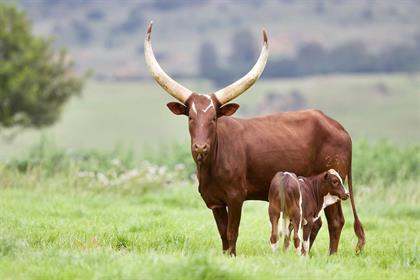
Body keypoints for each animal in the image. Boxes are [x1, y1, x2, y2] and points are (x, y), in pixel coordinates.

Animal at [144, 23, 364, 258]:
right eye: (191, 117)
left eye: (213, 118)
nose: (200, 147)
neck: (211, 165)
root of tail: (339, 127)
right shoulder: (214, 201)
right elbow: (222, 233)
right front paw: (225, 255)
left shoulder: (236, 196)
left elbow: (232, 231)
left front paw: (232, 256)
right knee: (316, 223)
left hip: (334, 184)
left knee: (336, 221)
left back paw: (331, 256)